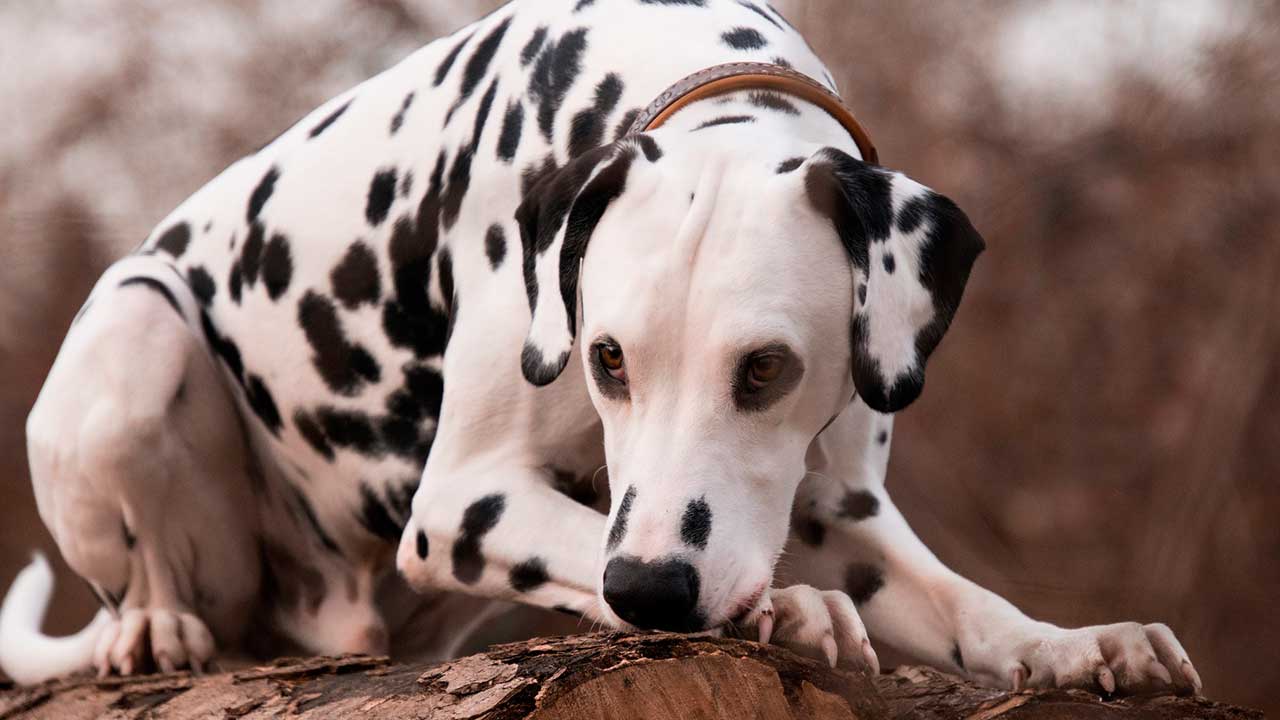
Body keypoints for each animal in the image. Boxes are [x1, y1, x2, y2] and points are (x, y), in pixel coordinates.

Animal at [0, 0, 1198, 696]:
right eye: (607, 358)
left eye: (766, 368)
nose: (656, 591)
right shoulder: (462, 504)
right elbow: (593, 542)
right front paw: (786, 608)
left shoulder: (836, 506)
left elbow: (961, 603)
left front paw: (1070, 644)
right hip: (139, 328)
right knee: (151, 581)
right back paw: (152, 629)